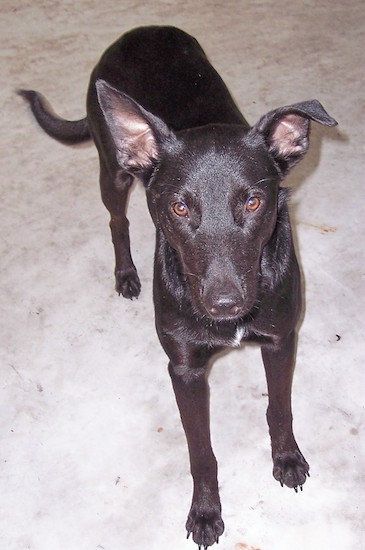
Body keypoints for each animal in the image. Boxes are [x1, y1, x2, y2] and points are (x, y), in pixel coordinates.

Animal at [18, 24, 336, 548]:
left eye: (254, 202)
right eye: (180, 208)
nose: (225, 305)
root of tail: (139, 30)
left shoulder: (280, 339)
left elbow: (280, 408)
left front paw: (287, 458)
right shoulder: (184, 370)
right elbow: (200, 450)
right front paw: (206, 511)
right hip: (114, 171)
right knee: (118, 220)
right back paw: (125, 273)